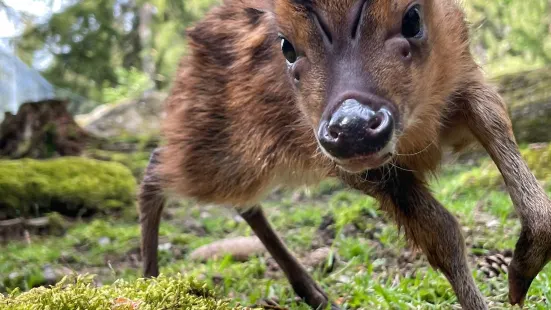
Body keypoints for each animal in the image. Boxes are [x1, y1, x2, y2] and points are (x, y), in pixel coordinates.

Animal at [140, 1, 551, 308]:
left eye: (413, 18)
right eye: (286, 46)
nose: (352, 127)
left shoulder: (464, 80)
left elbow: (498, 127)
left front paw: (520, 274)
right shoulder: (341, 157)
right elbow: (442, 233)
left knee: (244, 203)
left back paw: (316, 294)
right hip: (221, 148)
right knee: (157, 165)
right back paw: (148, 283)